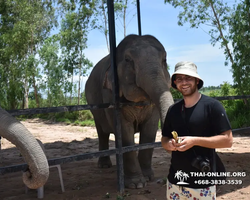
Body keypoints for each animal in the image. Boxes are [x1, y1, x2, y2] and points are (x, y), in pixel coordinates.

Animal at [85, 34, 173, 189]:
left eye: (164, 60)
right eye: (128, 60)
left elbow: (150, 131)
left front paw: (148, 177)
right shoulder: (110, 95)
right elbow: (125, 133)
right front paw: (136, 184)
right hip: (94, 108)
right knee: (102, 132)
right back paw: (105, 166)